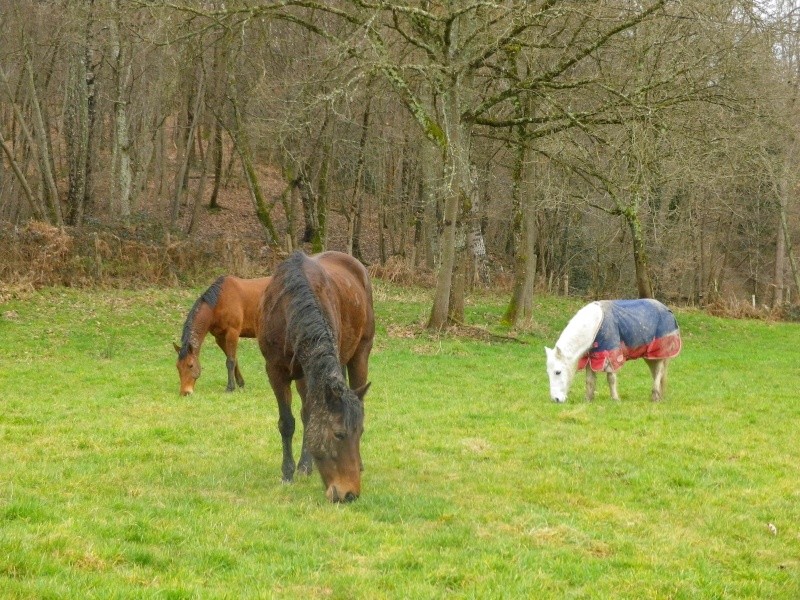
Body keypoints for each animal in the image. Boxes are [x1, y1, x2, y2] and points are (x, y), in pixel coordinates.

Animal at [260, 251, 378, 504]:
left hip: (360, 353)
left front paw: (304, 466)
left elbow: (308, 416)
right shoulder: (275, 371)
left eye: (360, 432)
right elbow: (288, 422)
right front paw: (288, 472)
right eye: (338, 434)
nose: (349, 494)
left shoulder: (307, 373)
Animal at [548, 300, 684, 404]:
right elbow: (589, 380)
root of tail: (667, 309)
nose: (556, 399)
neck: (595, 325)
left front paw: (615, 399)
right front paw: (588, 400)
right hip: (650, 356)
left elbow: (611, 378)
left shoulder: (610, 355)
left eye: (558, 372)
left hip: (660, 352)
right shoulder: (591, 358)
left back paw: (655, 396)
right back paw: (659, 396)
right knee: (656, 372)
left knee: (659, 371)